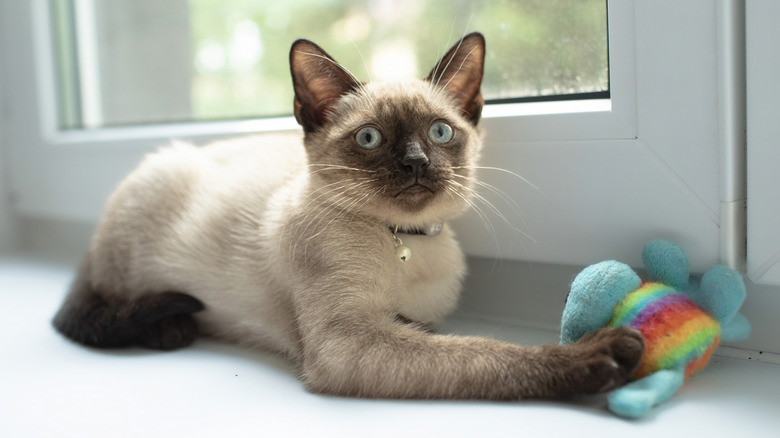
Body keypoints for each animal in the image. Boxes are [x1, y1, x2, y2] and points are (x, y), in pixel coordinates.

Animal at [51, 32, 644, 398]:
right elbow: (487, 355)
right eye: (370, 139)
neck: (405, 240)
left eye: (439, 132)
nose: (415, 162)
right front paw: (605, 356)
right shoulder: (351, 342)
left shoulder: (407, 326)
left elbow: (446, 340)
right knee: (102, 302)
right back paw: (170, 327)